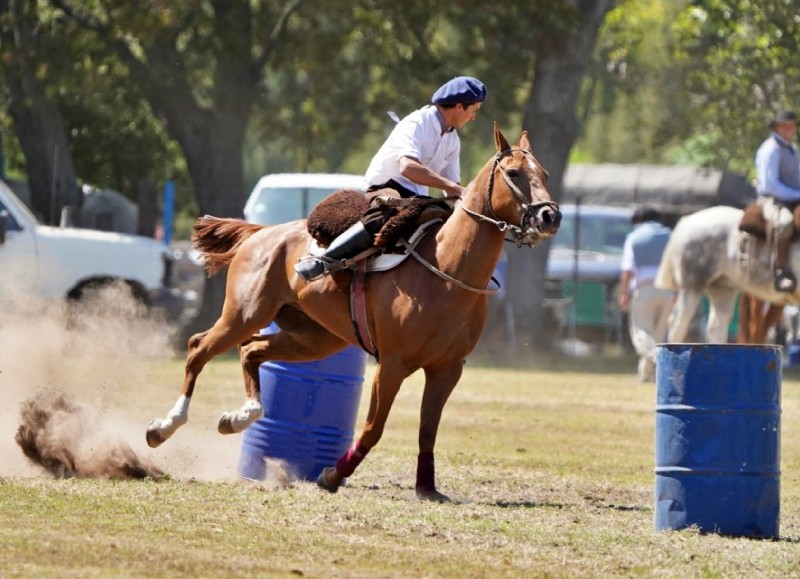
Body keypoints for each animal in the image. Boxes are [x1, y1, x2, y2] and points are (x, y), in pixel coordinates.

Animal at [147, 124, 560, 500]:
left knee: (251, 351)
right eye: (513, 173)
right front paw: (332, 475)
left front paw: (427, 488)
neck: (448, 269)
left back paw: (240, 416)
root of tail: (261, 232)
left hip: (314, 338)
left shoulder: (447, 369)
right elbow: (373, 428)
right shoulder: (392, 364)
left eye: (544, 174)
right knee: (199, 347)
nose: (550, 217)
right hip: (244, 313)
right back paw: (163, 427)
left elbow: (428, 431)